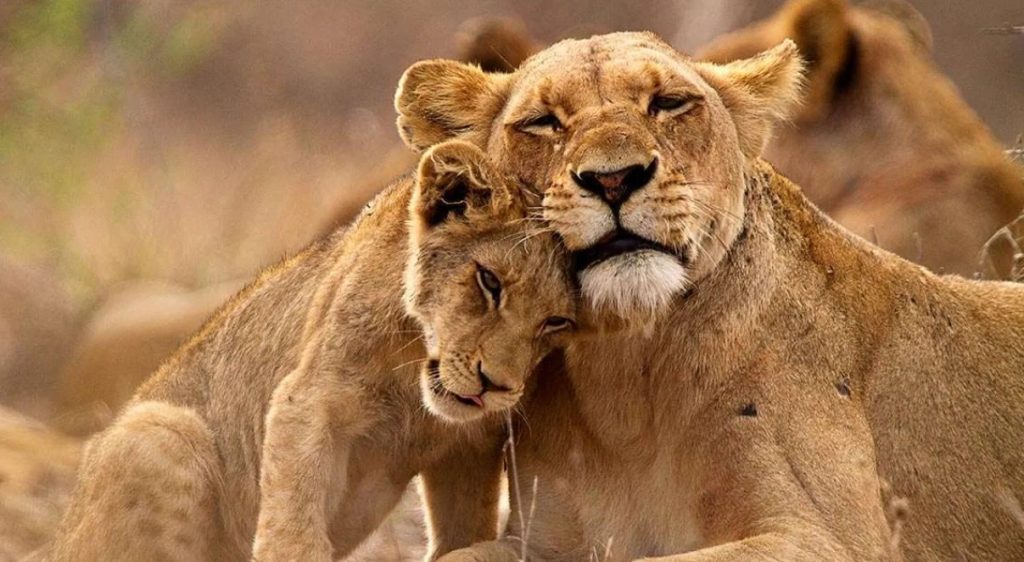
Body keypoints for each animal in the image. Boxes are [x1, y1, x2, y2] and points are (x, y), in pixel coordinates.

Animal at [48, 141, 578, 562]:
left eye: (557, 322)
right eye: (489, 281)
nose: (495, 386)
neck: (414, 383)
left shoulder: (469, 446)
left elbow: (463, 531)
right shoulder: (307, 401)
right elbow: (294, 525)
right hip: (158, 432)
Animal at [394, 32, 1024, 561]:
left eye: (669, 103)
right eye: (544, 122)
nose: (614, 178)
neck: (626, 380)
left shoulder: (829, 538)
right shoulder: (542, 539)